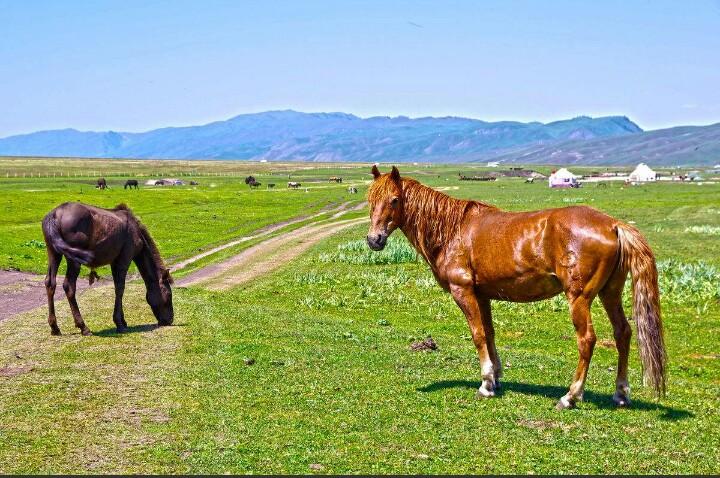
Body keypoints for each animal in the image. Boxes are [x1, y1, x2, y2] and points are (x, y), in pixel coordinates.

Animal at [41, 202, 173, 336]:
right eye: (169, 294)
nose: (170, 320)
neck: (135, 231)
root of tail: (55, 214)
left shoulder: (114, 262)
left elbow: (117, 288)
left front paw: (123, 321)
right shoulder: (124, 260)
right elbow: (120, 289)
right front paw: (119, 323)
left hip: (54, 253)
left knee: (50, 283)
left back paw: (54, 327)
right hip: (73, 261)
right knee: (69, 286)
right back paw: (83, 327)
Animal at [368, 166, 668, 408]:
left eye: (394, 200)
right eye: (370, 200)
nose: (374, 239)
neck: (453, 231)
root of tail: (613, 225)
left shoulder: (463, 291)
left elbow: (478, 335)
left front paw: (486, 384)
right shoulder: (483, 295)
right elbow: (489, 334)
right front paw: (496, 377)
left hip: (580, 298)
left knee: (587, 340)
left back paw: (570, 396)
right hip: (610, 293)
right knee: (623, 333)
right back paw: (621, 394)